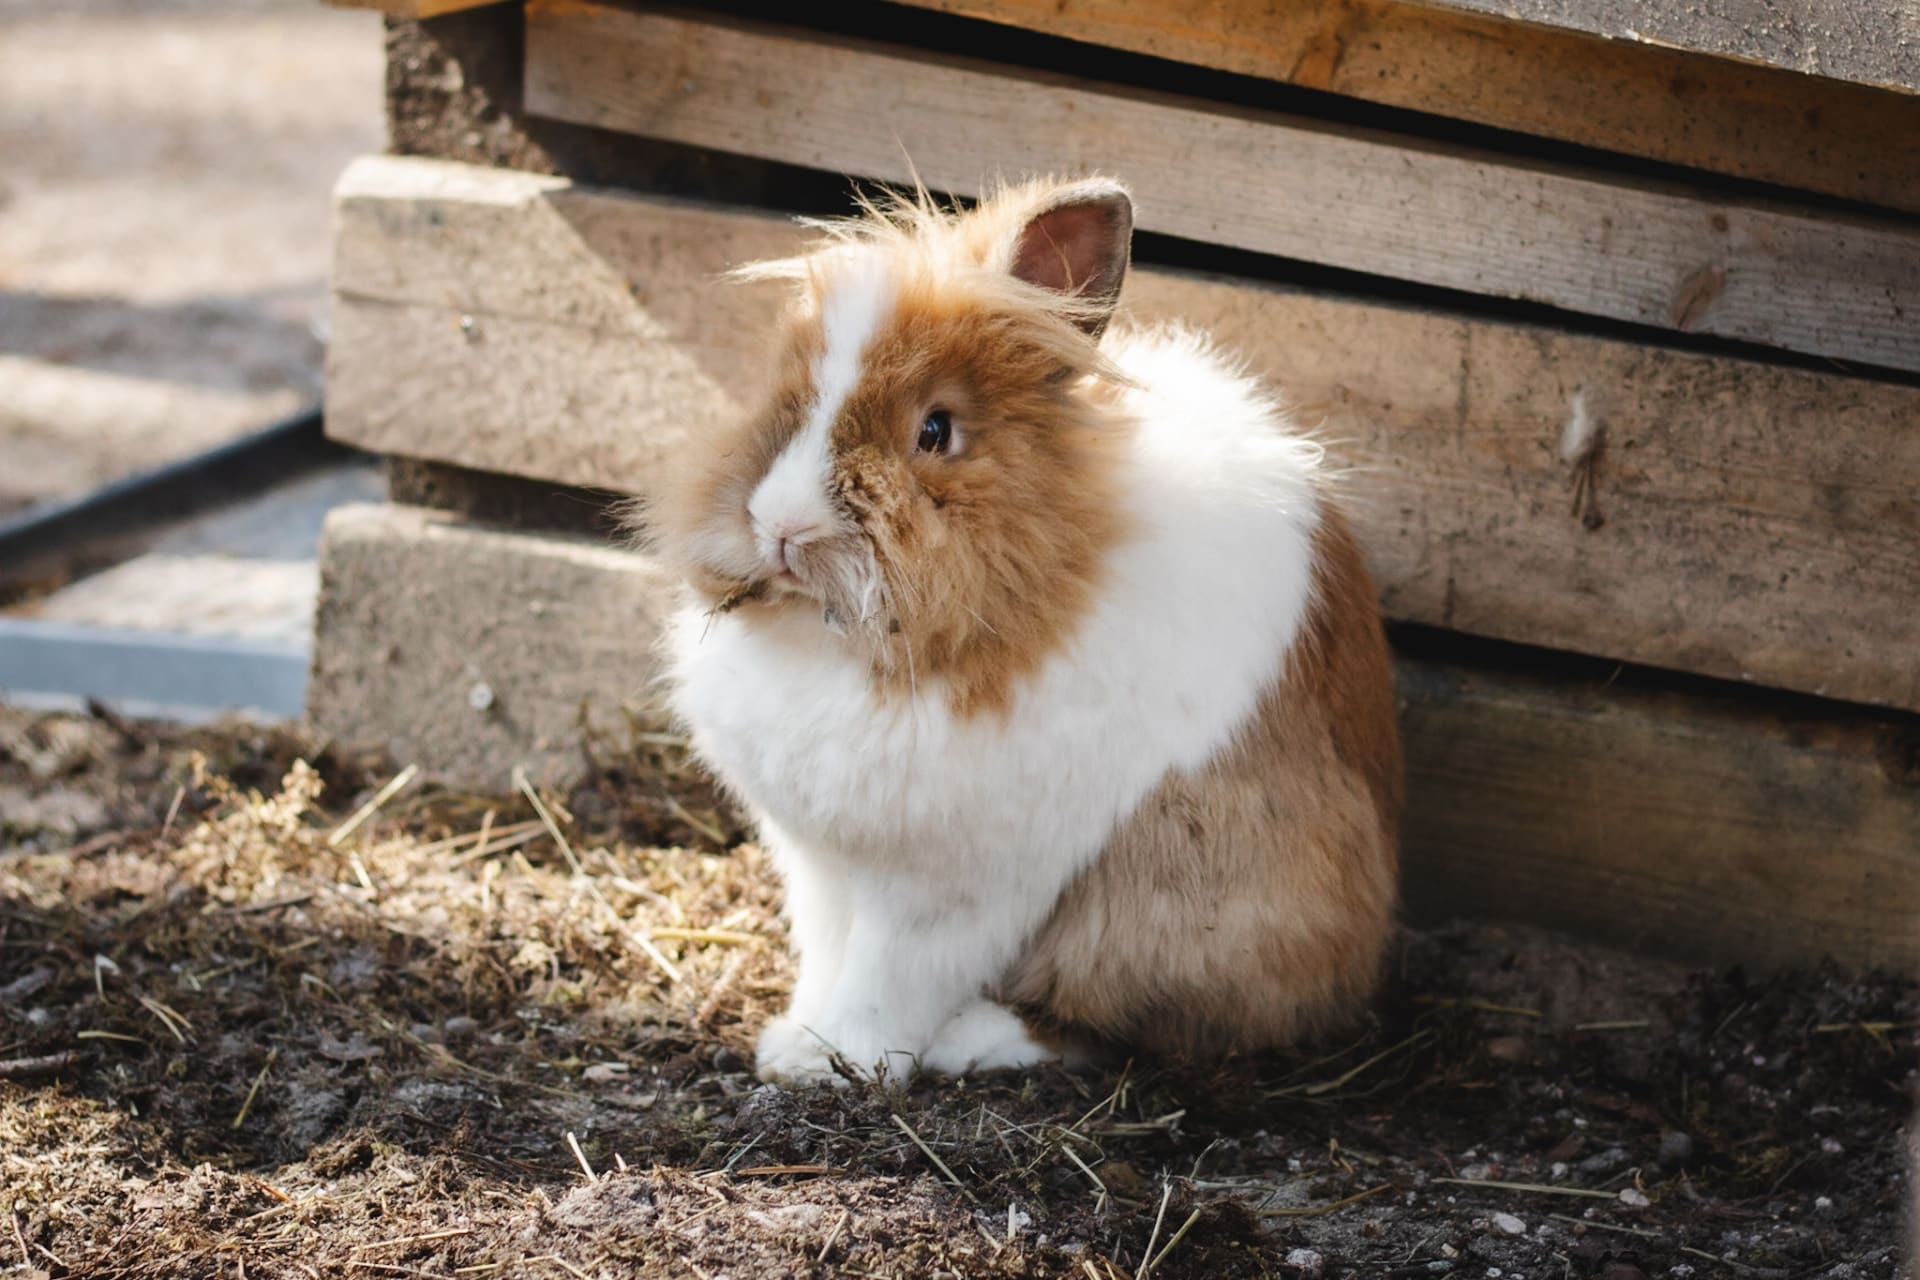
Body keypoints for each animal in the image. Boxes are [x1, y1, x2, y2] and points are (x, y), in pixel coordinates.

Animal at [644, 175, 1401, 1085]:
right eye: (782, 398)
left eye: (935, 431)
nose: (781, 527)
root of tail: (1365, 948)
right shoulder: (822, 868)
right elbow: (831, 956)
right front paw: (793, 1038)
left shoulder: (955, 885)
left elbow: (890, 978)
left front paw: (832, 1059)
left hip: (1180, 902)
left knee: (1125, 1020)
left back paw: (975, 1038)